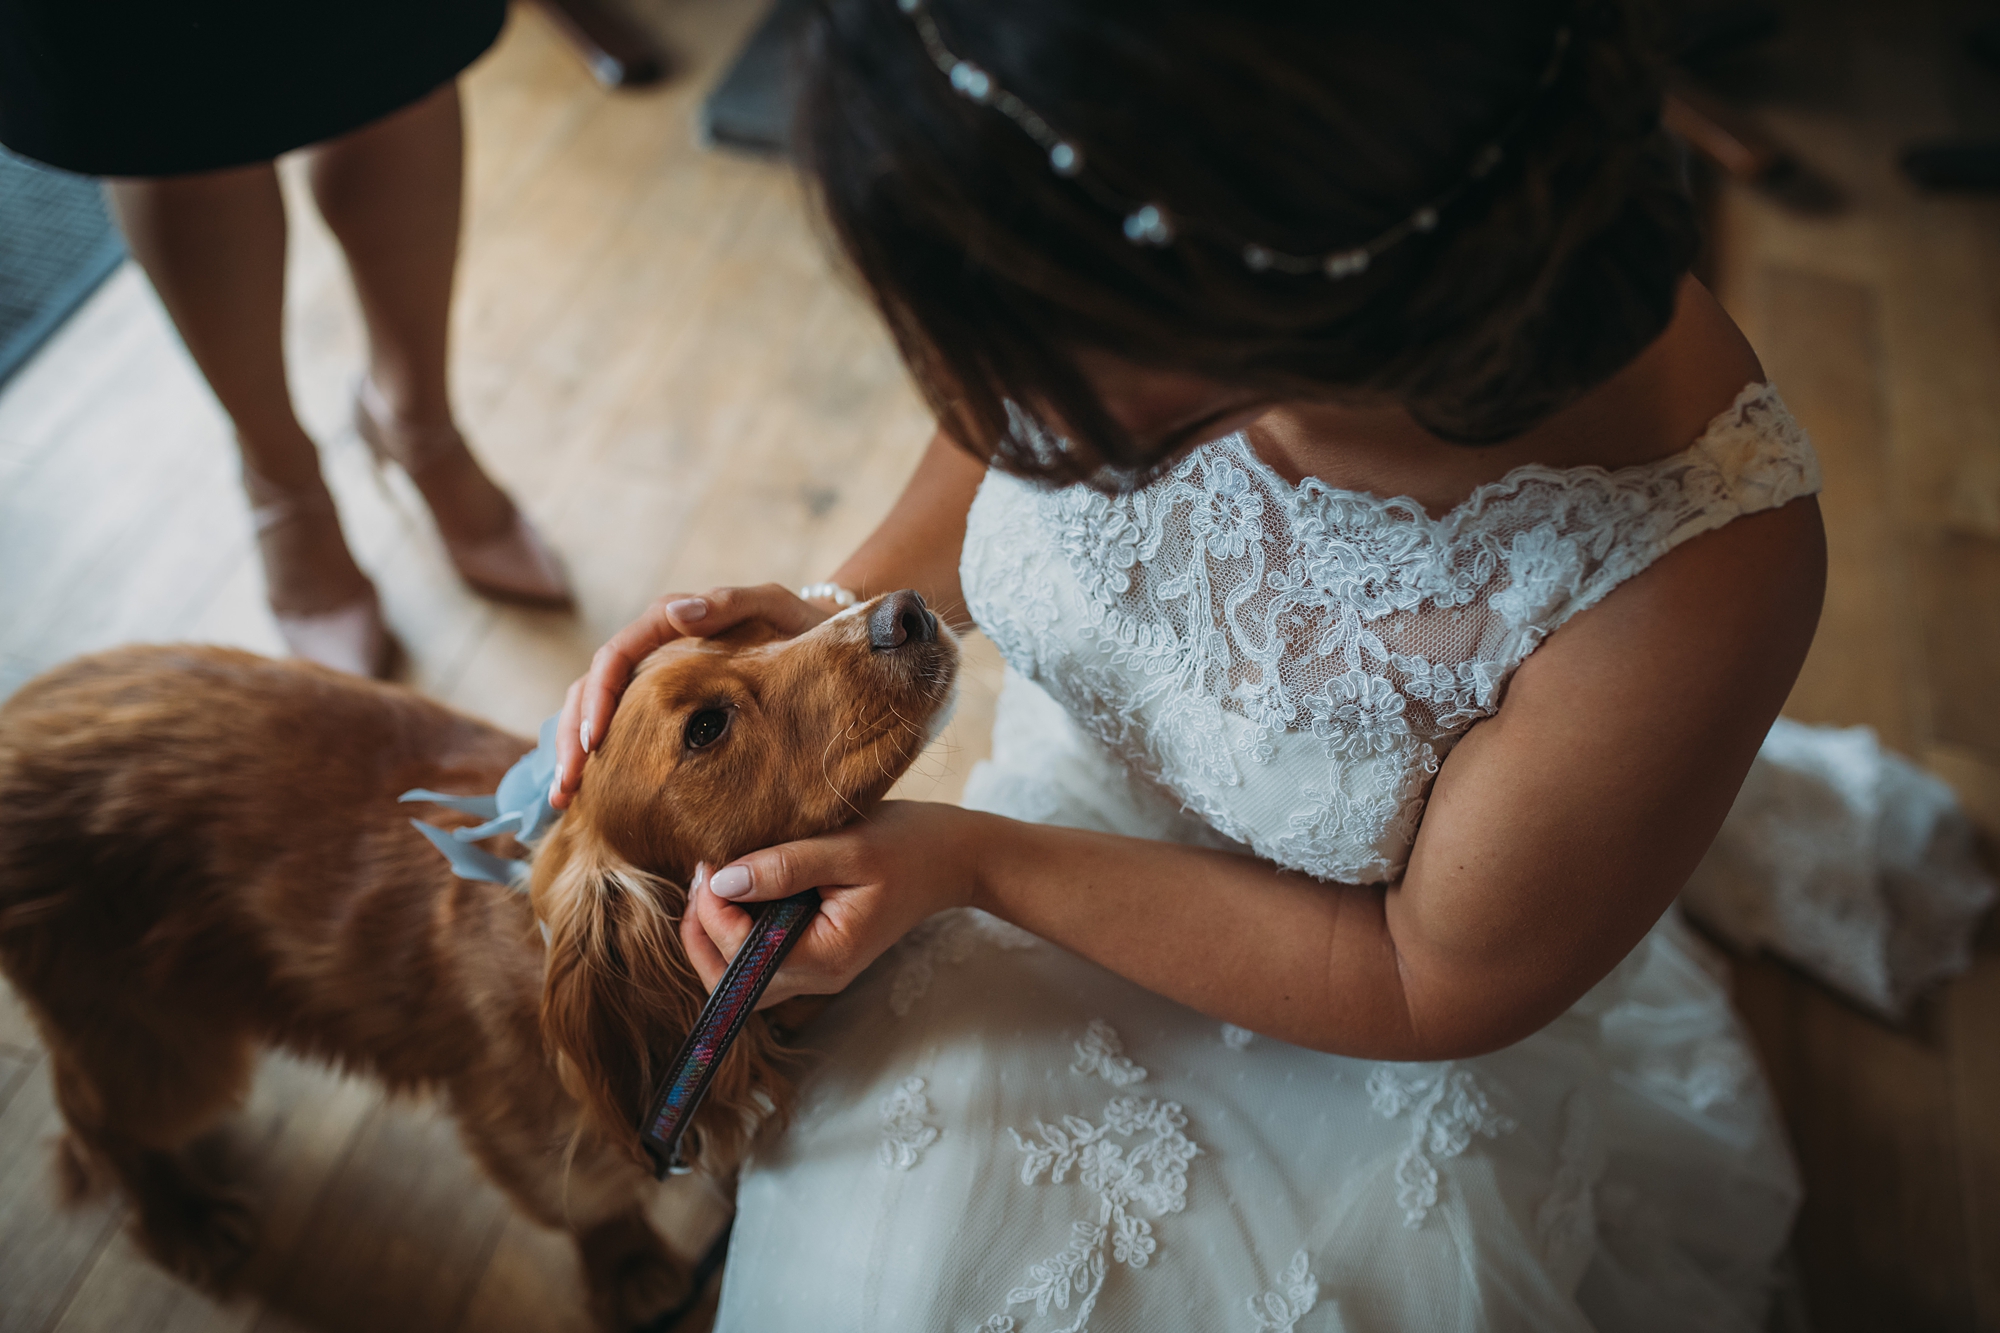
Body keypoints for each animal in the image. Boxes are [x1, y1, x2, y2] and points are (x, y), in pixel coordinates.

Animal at [0, 592, 960, 1328]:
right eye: (707, 726)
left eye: (763, 629)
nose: (907, 610)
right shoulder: (518, 1122)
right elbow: (593, 1199)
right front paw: (630, 1269)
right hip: (155, 1033)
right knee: (95, 1120)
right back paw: (185, 1215)